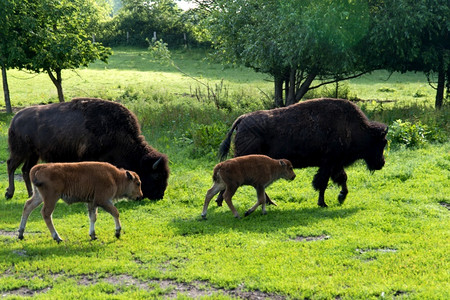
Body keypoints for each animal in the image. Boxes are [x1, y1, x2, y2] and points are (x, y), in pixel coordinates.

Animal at [4, 97, 170, 200]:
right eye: (157, 176)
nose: (159, 196)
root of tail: (15, 118)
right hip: (20, 151)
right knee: (11, 165)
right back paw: (9, 194)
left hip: (33, 154)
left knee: (26, 170)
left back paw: (30, 194)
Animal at [220, 97, 388, 207]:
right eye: (382, 143)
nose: (381, 163)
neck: (352, 127)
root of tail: (242, 119)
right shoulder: (329, 164)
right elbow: (323, 183)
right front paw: (323, 203)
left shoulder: (335, 164)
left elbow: (341, 178)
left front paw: (340, 197)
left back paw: (269, 202)